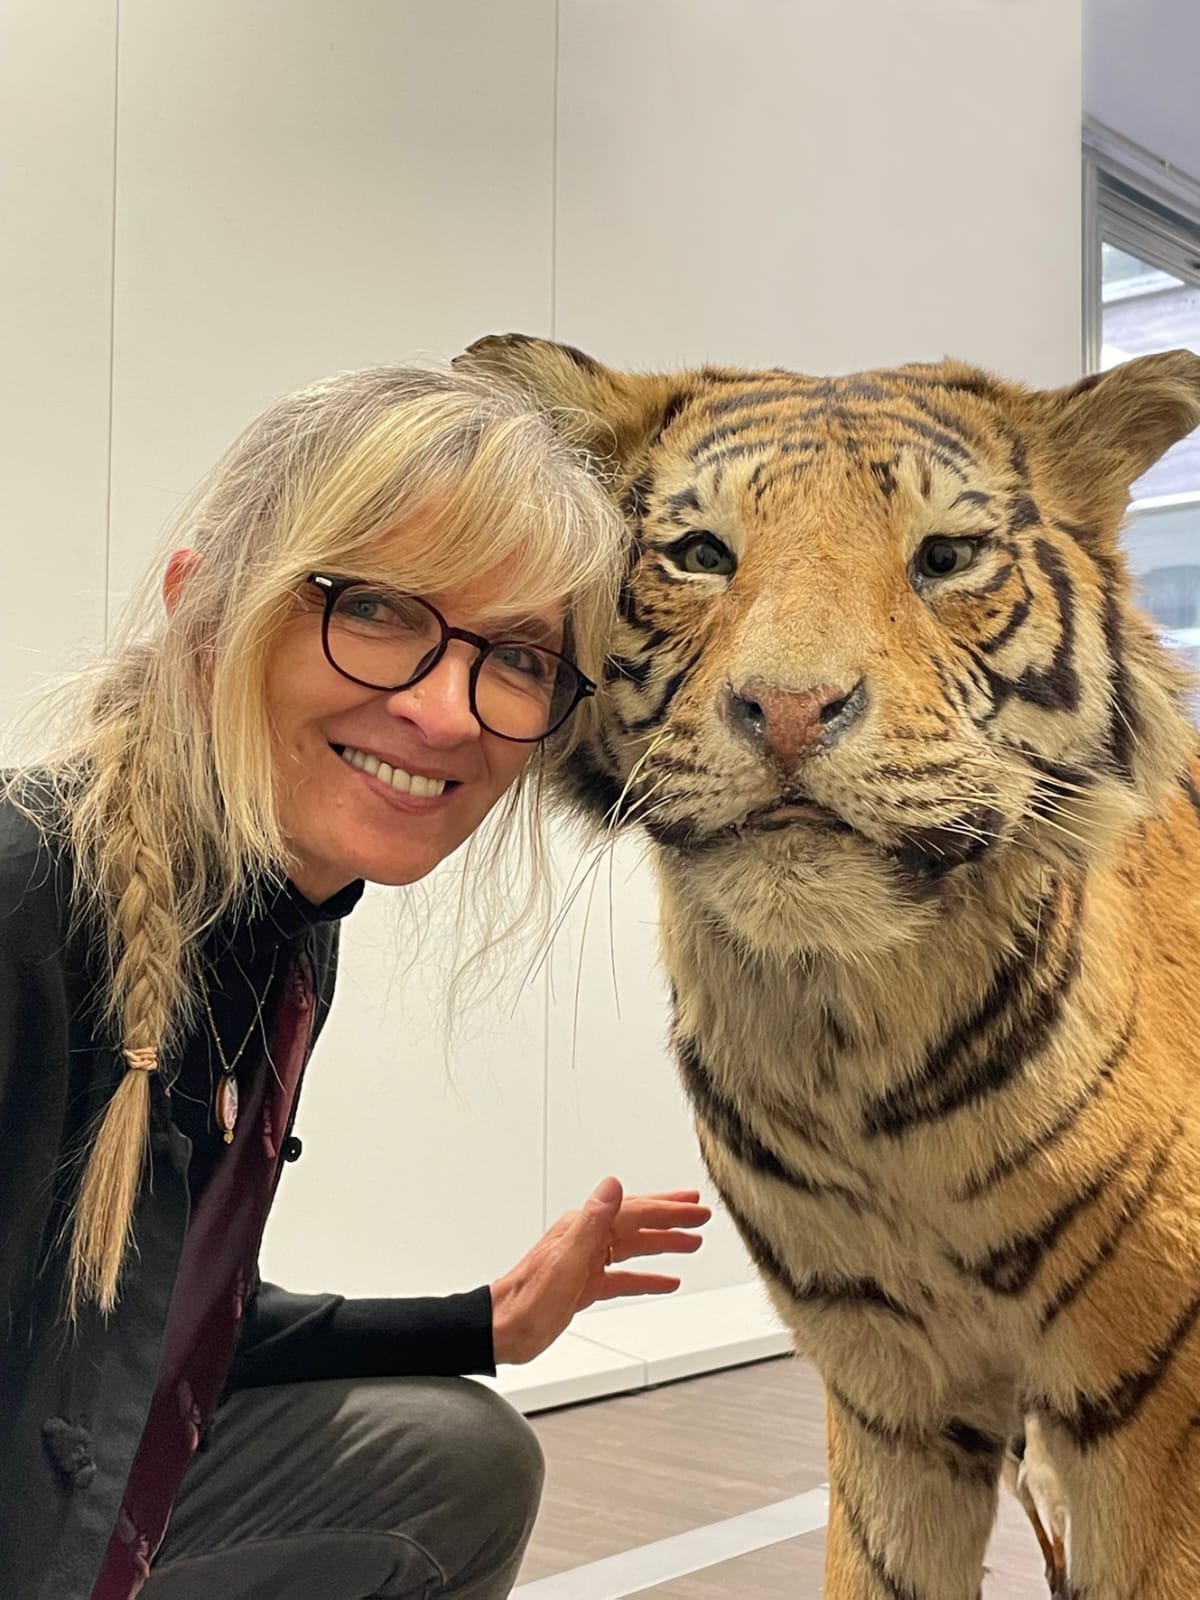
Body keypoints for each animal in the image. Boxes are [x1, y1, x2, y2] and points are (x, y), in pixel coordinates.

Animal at [464, 328, 1200, 1600]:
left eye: (946, 556)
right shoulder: (892, 1392)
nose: (792, 707)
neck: (847, 1046)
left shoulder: (1156, 1411)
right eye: (701, 554)